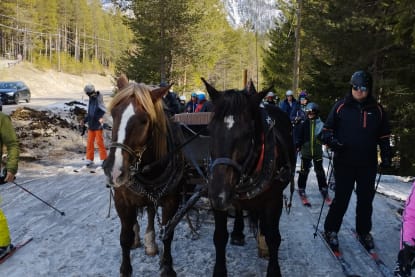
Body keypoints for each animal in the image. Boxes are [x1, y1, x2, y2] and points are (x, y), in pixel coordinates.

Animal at [202, 78, 296, 276]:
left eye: (246, 134)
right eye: (209, 130)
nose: (219, 195)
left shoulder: (274, 200)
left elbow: (273, 237)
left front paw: (274, 269)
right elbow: (219, 236)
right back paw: (238, 231)